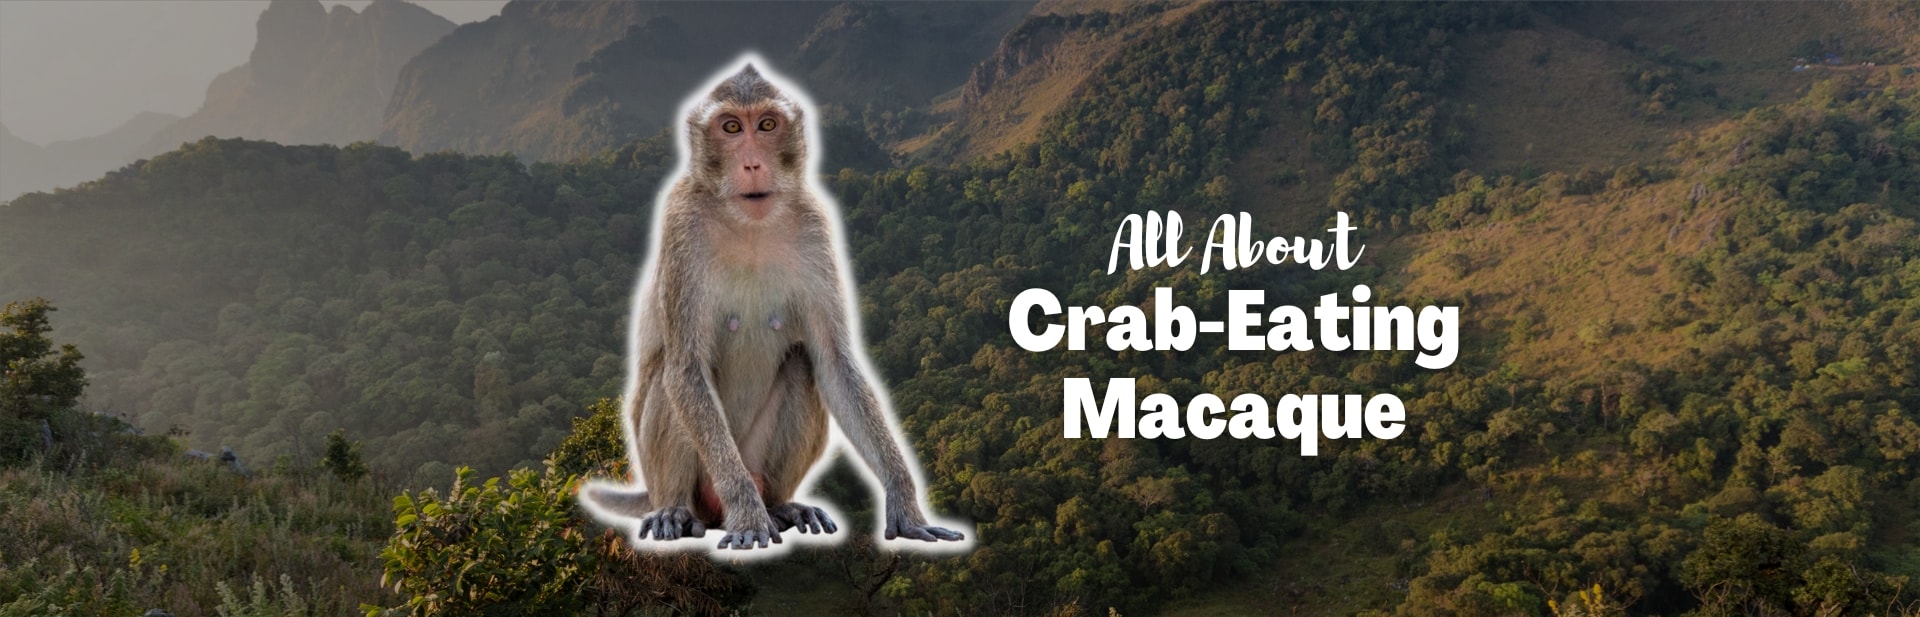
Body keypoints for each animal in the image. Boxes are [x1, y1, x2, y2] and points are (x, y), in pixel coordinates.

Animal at [580, 59, 967, 552]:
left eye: (766, 125)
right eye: (730, 127)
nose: (752, 163)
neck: (748, 223)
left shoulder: (815, 226)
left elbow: (833, 362)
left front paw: (904, 500)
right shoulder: (681, 223)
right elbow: (685, 369)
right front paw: (747, 515)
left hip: (757, 460)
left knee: (803, 364)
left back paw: (782, 506)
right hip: (689, 474)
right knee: (672, 374)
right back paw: (678, 511)